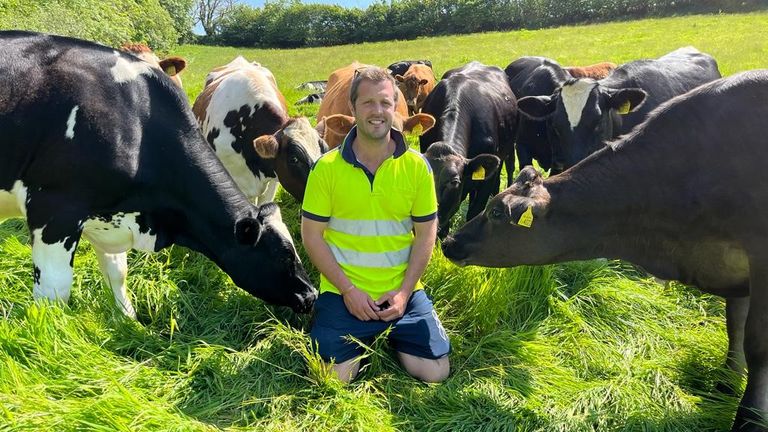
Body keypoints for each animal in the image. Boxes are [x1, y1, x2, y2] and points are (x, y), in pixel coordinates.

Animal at [440, 69, 768, 430]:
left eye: (498, 212)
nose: (451, 241)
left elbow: (757, 343)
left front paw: (750, 417)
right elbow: (734, 322)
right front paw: (727, 382)